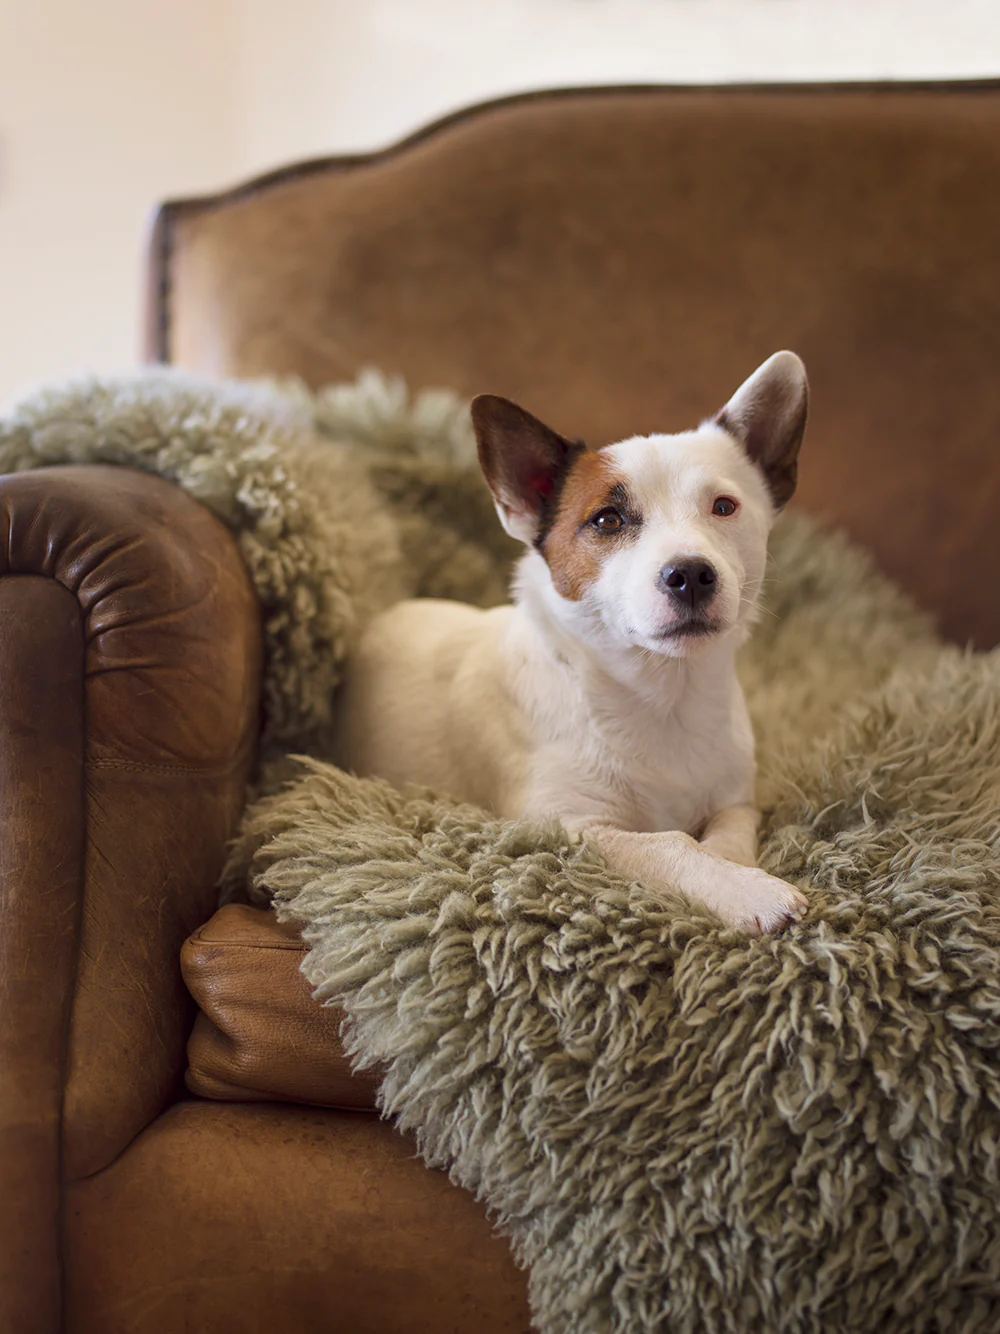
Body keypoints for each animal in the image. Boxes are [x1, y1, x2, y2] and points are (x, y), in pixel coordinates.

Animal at [337, 354, 816, 939]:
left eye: (724, 507)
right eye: (607, 520)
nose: (690, 574)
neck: (663, 695)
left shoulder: (736, 802)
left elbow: (725, 834)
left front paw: (735, 874)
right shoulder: (571, 828)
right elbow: (670, 845)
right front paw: (748, 892)